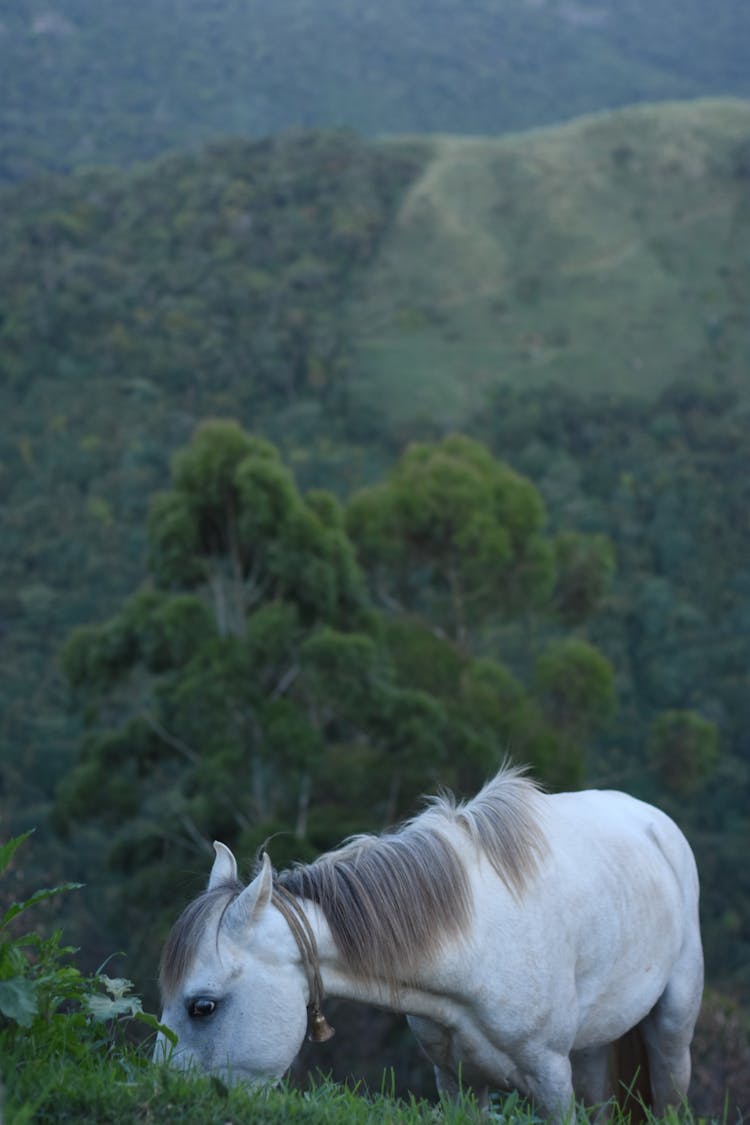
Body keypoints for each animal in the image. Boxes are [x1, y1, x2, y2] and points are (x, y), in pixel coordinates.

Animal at [154, 765, 706, 1116]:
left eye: (202, 1006)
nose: (169, 1093)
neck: (474, 947)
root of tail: (653, 822)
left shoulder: (550, 1077)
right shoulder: (457, 1082)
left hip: (673, 1030)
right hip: (591, 1046)